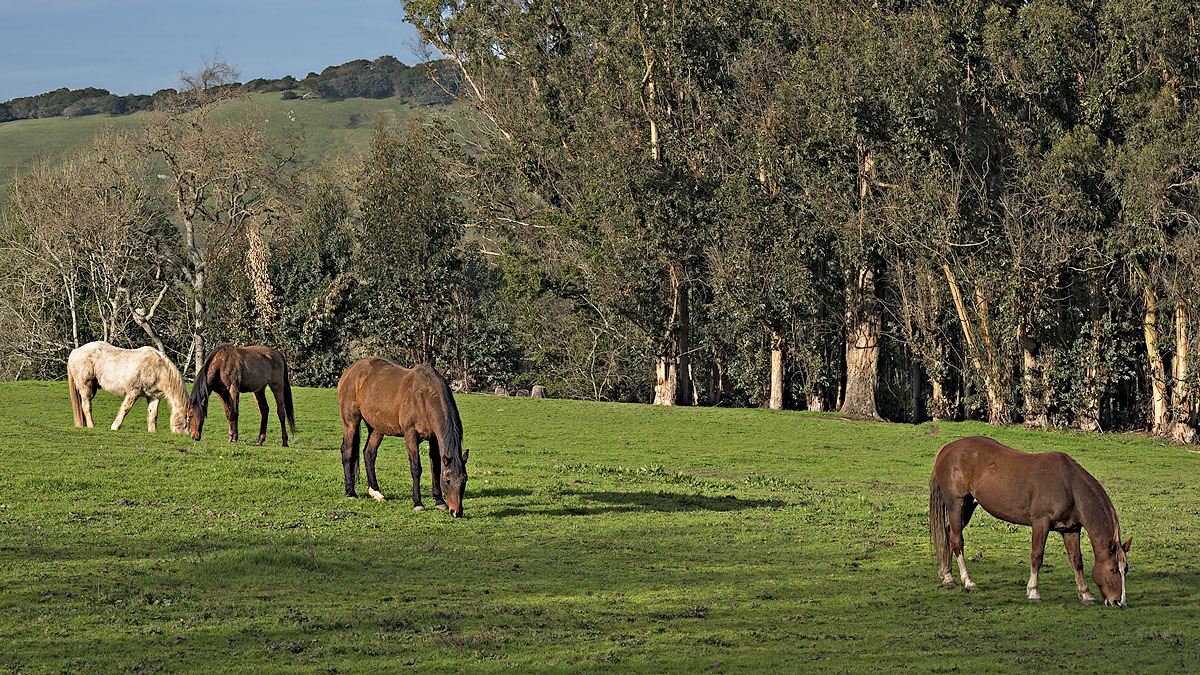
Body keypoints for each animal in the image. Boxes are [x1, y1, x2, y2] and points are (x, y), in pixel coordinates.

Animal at [338, 357, 472, 514]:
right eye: (447, 480)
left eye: (464, 480)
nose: (456, 512)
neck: (424, 397)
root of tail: (350, 370)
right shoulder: (411, 435)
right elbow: (416, 468)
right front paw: (418, 503)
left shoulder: (434, 438)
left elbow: (435, 467)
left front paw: (439, 501)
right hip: (351, 422)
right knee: (347, 452)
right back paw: (350, 492)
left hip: (377, 428)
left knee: (369, 454)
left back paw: (376, 492)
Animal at [926, 437, 1132, 605]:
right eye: (1112, 570)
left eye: (1126, 569)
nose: (1118, 602)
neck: (1069, 486)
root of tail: (946, 450)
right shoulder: (1041, 523)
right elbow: (1036, 557)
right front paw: (1033, 592)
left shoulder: (1070, 529)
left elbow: (1077, 561)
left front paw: (1086, 595)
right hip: (956, 503)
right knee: (957, 540)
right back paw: (967, 581)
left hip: (968, 506)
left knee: (949, 534)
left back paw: (947, 576)